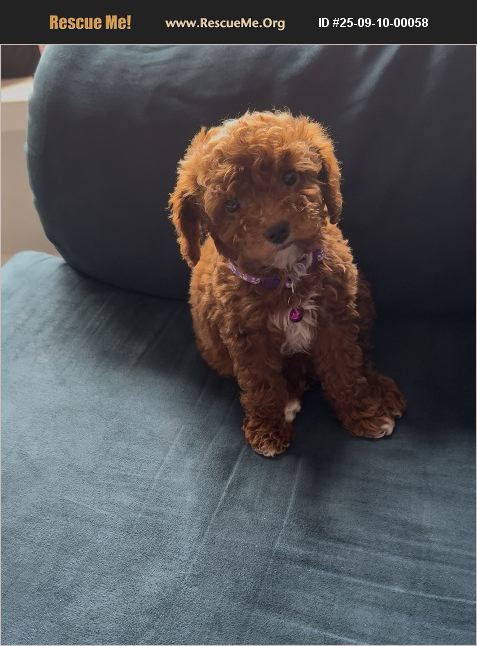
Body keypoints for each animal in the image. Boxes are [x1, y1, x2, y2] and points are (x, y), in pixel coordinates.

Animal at [169, 110, 405, 457]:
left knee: (362, 351)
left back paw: (381, 389)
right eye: (231, 205)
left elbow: (346, 369)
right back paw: (290, 398)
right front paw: (268, 428)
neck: (287, 278)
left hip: (361, 295)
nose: (277, 230)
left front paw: (363, 413)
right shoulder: (247, 337)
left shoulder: (335, 321)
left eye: (290, 177)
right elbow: (261, 385)